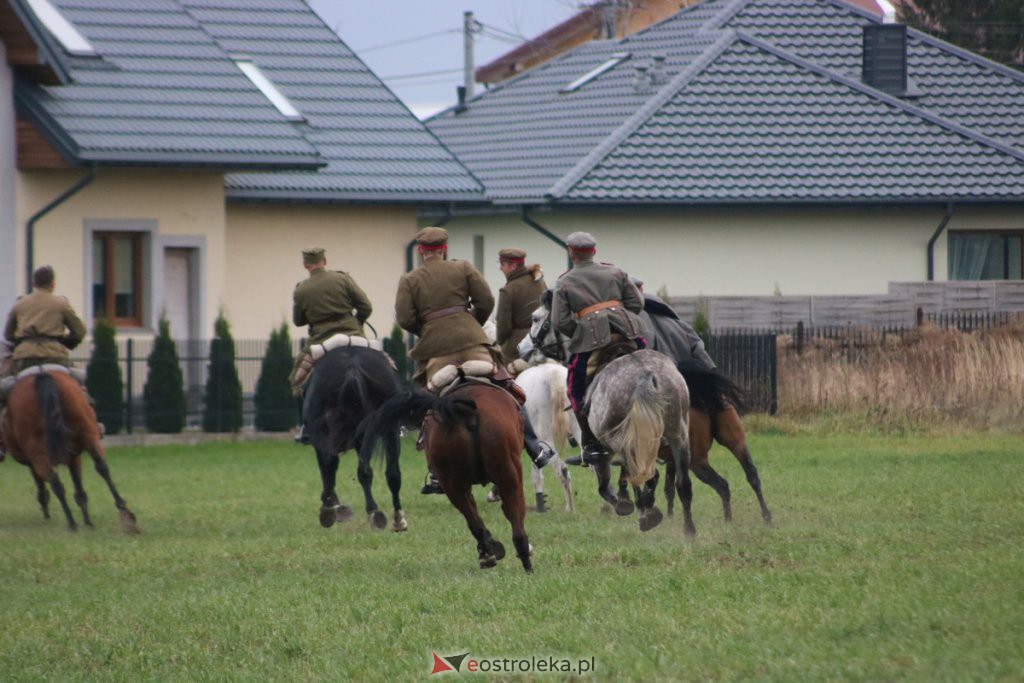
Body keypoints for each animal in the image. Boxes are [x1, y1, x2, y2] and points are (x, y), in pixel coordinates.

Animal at [2, 368, 138, 532]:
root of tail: (42, 375)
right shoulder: (73, 455)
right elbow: (79, 488)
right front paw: (88, 521)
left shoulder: (36, 461)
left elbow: (44, 486)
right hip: (88, 432)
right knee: (102, 466)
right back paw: (125, 513)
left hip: (36, 449)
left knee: (55, 483)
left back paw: (72, 522)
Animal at [299, 348, 403, 532]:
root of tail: (352, 367)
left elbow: (327, 471)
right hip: (389, 430)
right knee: (389, 473)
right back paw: (389, 517)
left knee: (330, 464)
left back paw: (330, 509)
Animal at [362, 382, 536, 573]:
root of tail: (467, 411)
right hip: (506, 477)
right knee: (514, 520)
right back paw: (521, 560)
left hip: (456, 483)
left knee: (476, 522)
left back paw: (492, 553)